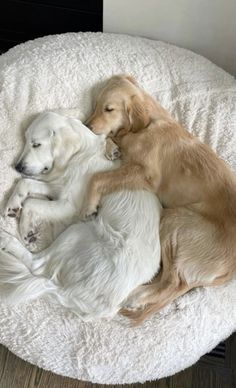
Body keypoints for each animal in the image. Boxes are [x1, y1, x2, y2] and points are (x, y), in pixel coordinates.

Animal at [0, 112, 161, 322]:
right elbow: (24, 183)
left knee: (37, 264)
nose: (18, 166)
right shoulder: (56, 186)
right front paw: (12, 205)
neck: (80, 154)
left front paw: (26, 229)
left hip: (78, 231)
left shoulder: (69, 205)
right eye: (26, 140)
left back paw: (7, 240)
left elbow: (31, 203)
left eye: (36, 144)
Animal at [82, 74, 236, 322]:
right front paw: (111, 147)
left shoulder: (146, 174)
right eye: (95, 105)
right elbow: (112, 140)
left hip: (174, 218)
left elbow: (97, 177)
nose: (86, 125)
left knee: (172, 282)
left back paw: (137, 297)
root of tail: (231, 269)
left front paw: (89, 205)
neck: (144, 127)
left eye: (109, 109)